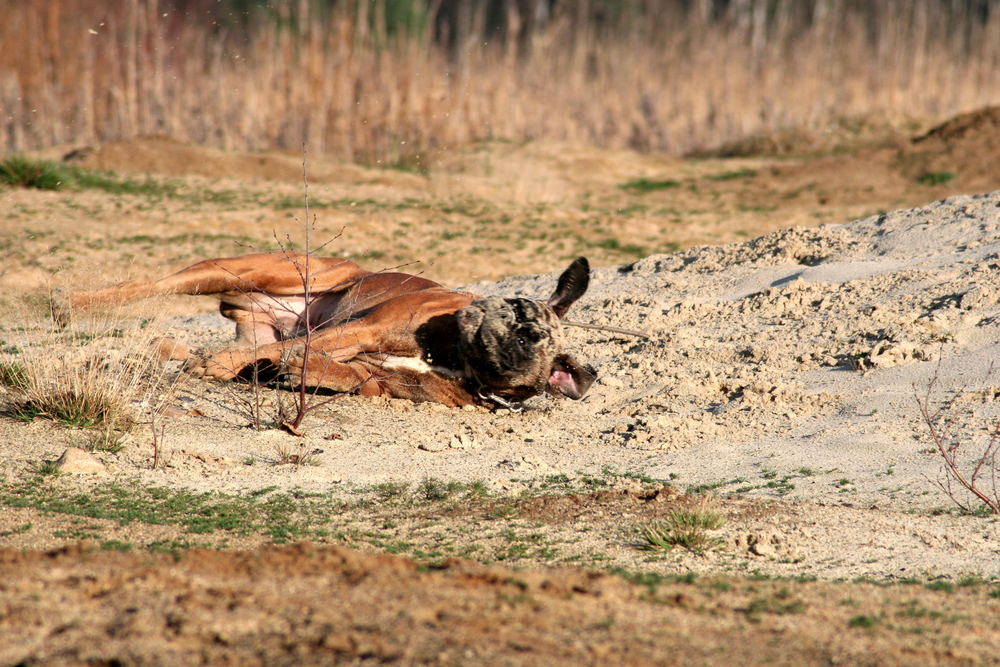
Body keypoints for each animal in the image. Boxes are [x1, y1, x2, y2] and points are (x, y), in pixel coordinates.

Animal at [62, 250, 596, 408]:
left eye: (527, 339)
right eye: (519, 314)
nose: (483, 314)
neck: (451, 356)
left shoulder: (369, 373)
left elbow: (304, 358)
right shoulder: (363, 329)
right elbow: (302, 347)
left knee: (180, 343)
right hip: (246, 269)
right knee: (149, 284)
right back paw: (66, 300)